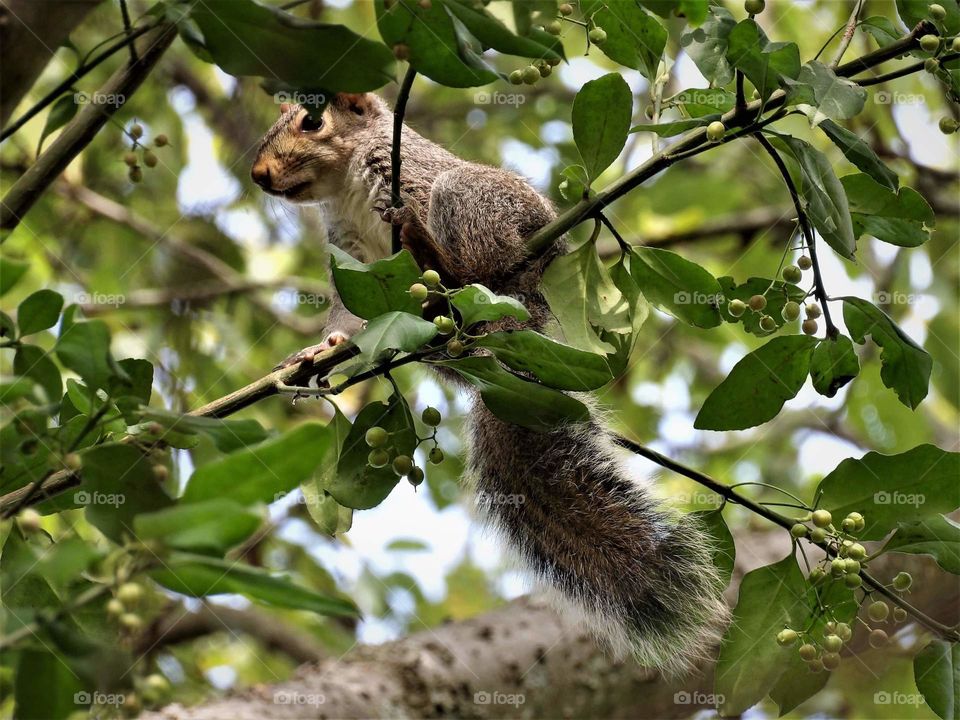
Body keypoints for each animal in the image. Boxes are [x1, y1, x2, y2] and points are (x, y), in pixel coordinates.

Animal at [251, 92, 728, 675]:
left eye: (313, 120)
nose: (258, 174)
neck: (344, 183)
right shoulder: (351, 257)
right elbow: (348, 314)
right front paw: (320, 351)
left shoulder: (406, 175)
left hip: (478, 207)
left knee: (474, 260)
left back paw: (438, 261)